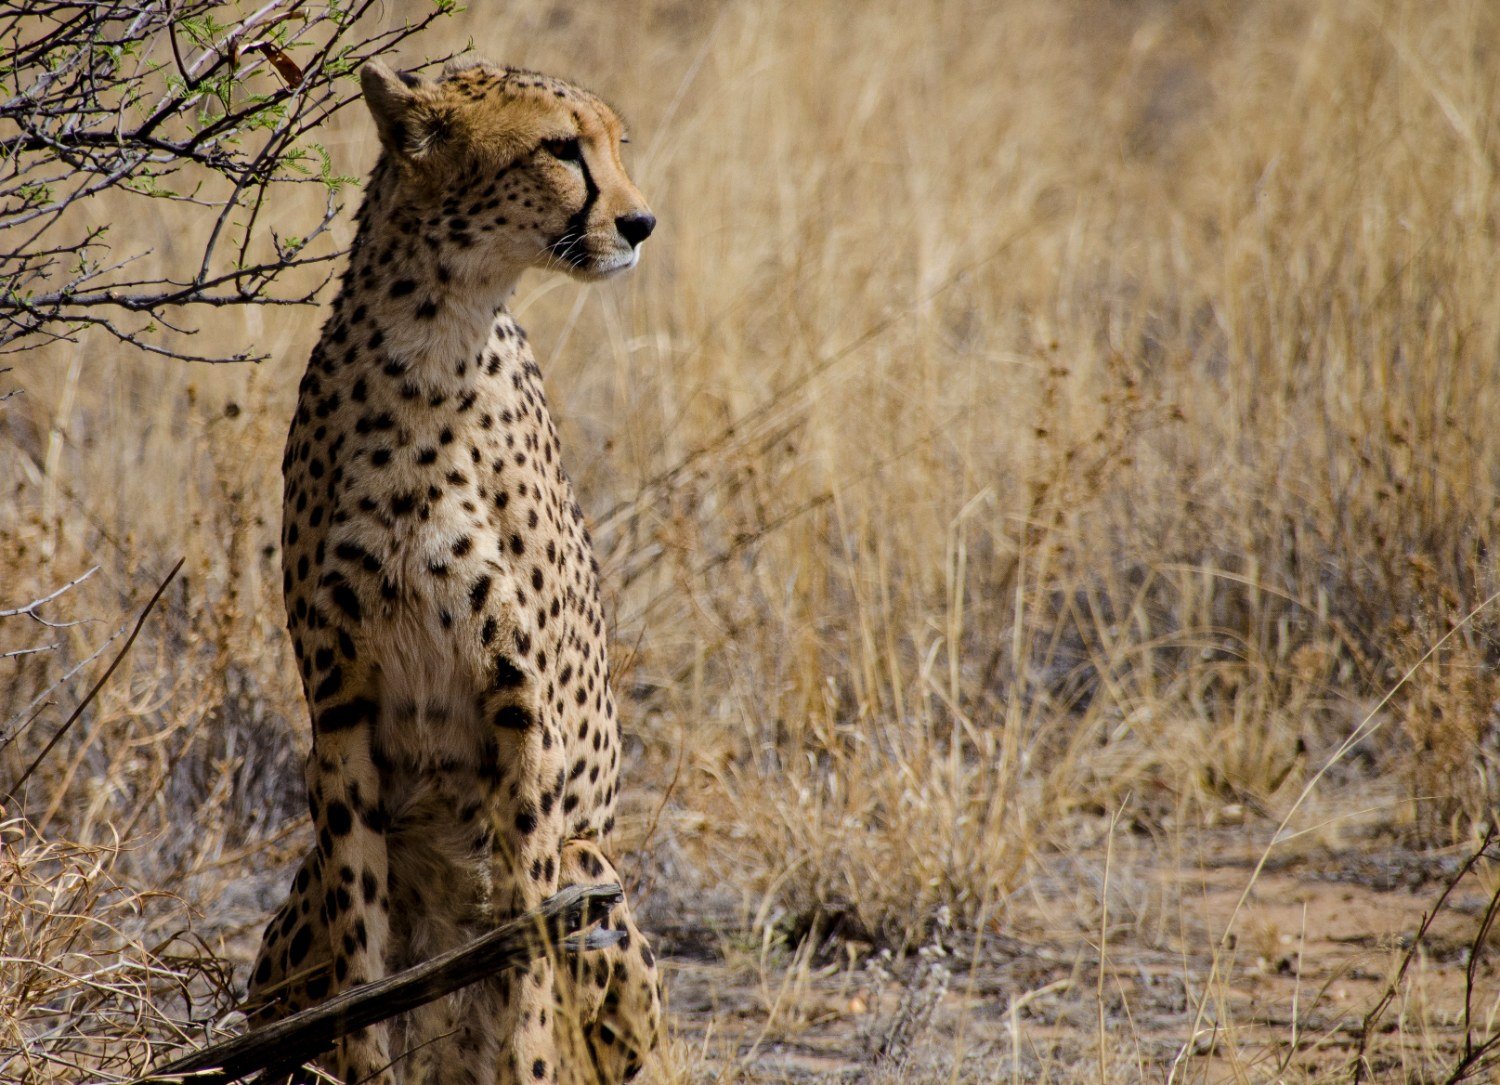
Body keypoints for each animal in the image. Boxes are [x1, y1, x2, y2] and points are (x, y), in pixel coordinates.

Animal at [242, 56, 663, 1085]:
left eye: (616, 145)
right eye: (560, 148)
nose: (640, 222)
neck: (434, 338)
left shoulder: (523, 714)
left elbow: (524, 961)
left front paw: (526, 1055)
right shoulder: (340, 710)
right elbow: (362, 958)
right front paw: (367, 1055)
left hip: (599, 872)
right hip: (296, 901)